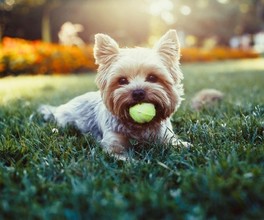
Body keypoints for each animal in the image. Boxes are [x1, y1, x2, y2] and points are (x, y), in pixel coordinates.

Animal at [37, 29, 190, 158]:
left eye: (152, 78)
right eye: (122, 80)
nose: (138, 92)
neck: (138, 127)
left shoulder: (165, 135)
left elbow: (175, 143)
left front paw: (184, 145)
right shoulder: (113, 142)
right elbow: (120, 155)